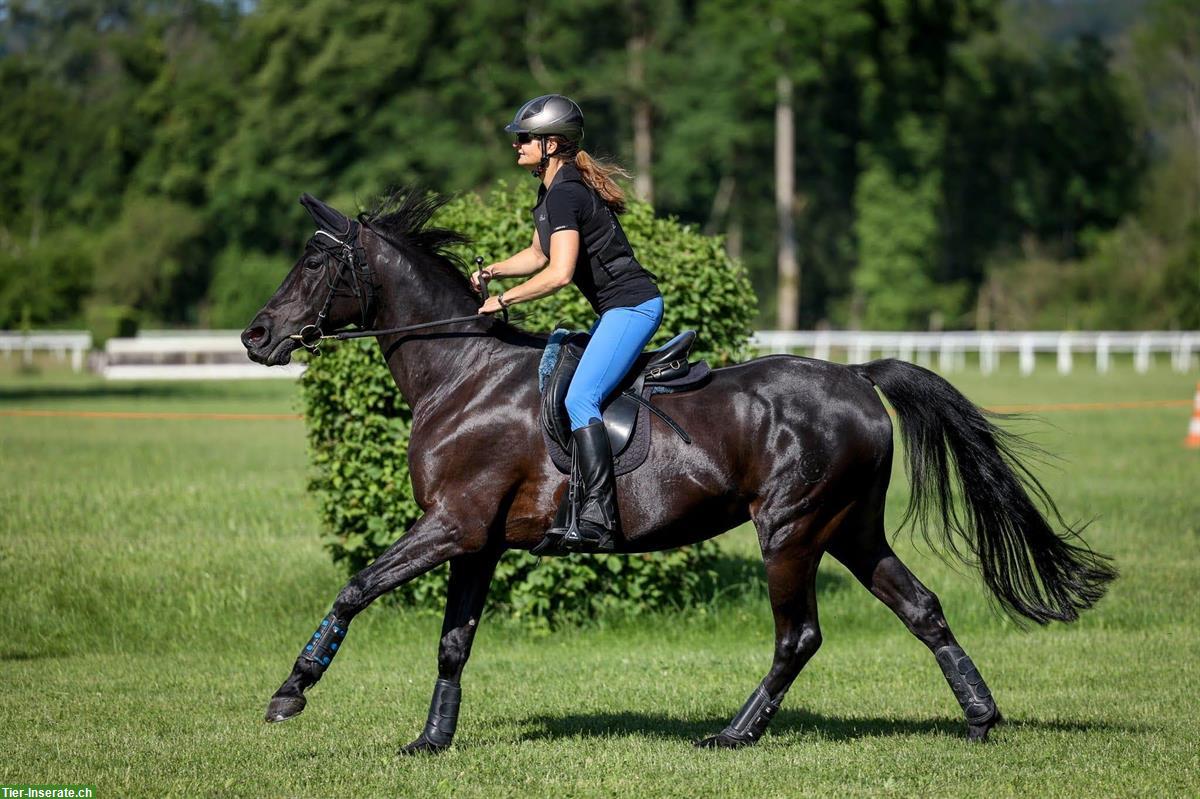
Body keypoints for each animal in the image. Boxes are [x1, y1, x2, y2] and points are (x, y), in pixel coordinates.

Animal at [241, 189, 1113, 748]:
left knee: (798, 635)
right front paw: (431, 738)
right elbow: (453, 642)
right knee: (922, 607)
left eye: (314, 265)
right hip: (850, 527)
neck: (460, 374)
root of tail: (856, 374)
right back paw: (980, 717)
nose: (256, 336)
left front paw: (292, 690)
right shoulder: (476, 539)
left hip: (790, 529)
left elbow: (356, 587)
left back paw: (734, 733)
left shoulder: (450, 525)